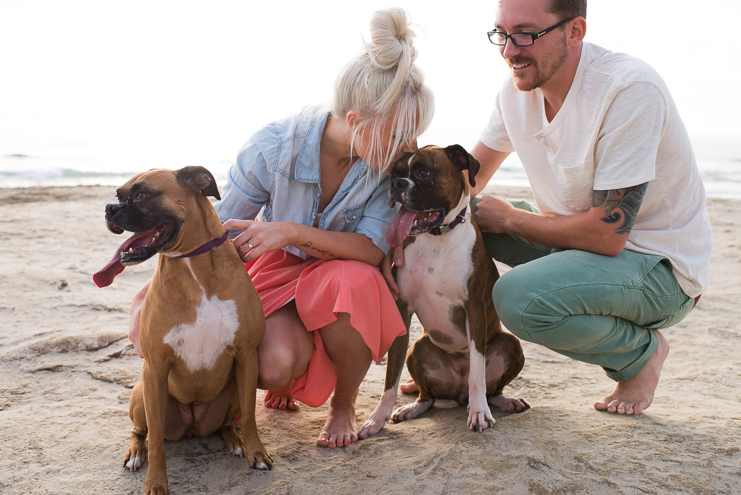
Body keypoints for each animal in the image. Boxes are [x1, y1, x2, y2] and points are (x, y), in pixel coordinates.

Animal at [95, 167, 272, 495]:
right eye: (118, 196)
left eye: (142, 195)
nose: (109, 209)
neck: (192, 265)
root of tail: (192, 426)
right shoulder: (155, 366)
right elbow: (156, 444)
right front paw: (155, 483)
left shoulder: (246, 355)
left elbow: (251, 418)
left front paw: (257, 453)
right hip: (143, 394)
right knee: (140, 431)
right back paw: (136, 453)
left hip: (231, 391)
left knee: (228, 423)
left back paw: (235, 441)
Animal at [356, 145, 528, 440]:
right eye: (395, 173)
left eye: (424, 172)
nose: (396, 185)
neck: (435, 238)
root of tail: (458, 392)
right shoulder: (402, 309)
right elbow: (391, 377)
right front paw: (377, 418)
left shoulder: (474, 309)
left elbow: (477, 374)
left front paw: (479, 413)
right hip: (418, 348)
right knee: (429, 397)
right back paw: (412, 408)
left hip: (511, 343)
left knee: (490, 389)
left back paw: (503, 401)